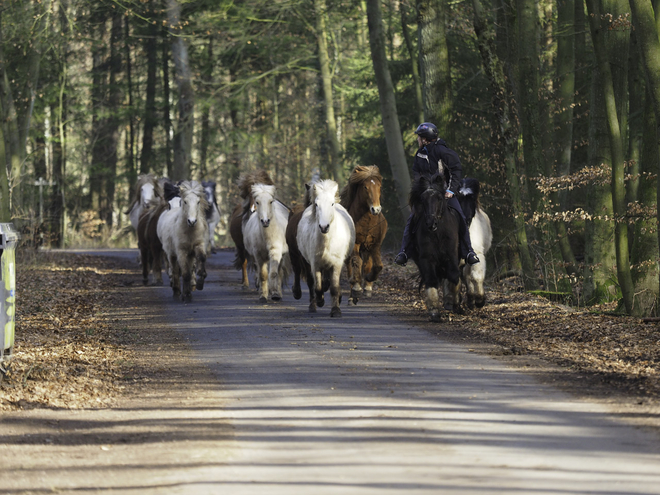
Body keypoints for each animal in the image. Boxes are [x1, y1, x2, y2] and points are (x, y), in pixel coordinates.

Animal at [296, 179, 354, 318]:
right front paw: (320, 300)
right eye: (316, 204)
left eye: (332, 204)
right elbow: (317, 286)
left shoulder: (337, 263)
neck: (327, 242)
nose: (324, 227)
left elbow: (334, 287)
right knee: (315, 283)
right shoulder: (315, 264)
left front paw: (336, 310)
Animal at [340, 167, 386, 306]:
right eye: (365, 187)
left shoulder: (375, 245)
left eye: (379, 186)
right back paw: (352, 295)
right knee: (351, 266)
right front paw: (356, 287)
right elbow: (356, 262)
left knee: (367, 264)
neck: (367, 222)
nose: (376, 209)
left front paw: (368, 283)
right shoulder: (355, 244)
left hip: (366, 249)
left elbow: (377, 265)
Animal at [408, 173, 458, 322]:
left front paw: (453, 303)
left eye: (439, 198)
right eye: (423, 199)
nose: (431, 223)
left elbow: (453, 276)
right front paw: (435, 311)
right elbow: (431, 280)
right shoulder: (426, 259)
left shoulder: (452, 256)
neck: (438, 233)